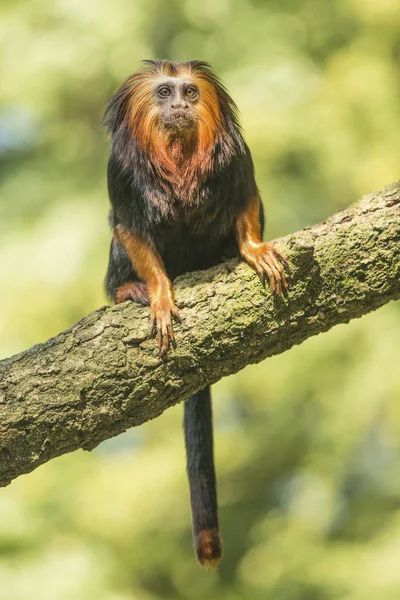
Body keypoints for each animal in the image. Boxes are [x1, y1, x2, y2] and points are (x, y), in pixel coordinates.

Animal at [101, 59, 286, 568]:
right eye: (165, 93)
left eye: (190, 91)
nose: (180, 106)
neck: (179, 154)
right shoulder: (120, 173)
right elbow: (130, 227)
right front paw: (160, 295)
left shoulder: (235, 158)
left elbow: (246, 199)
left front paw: (253, 250)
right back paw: (127, 289)